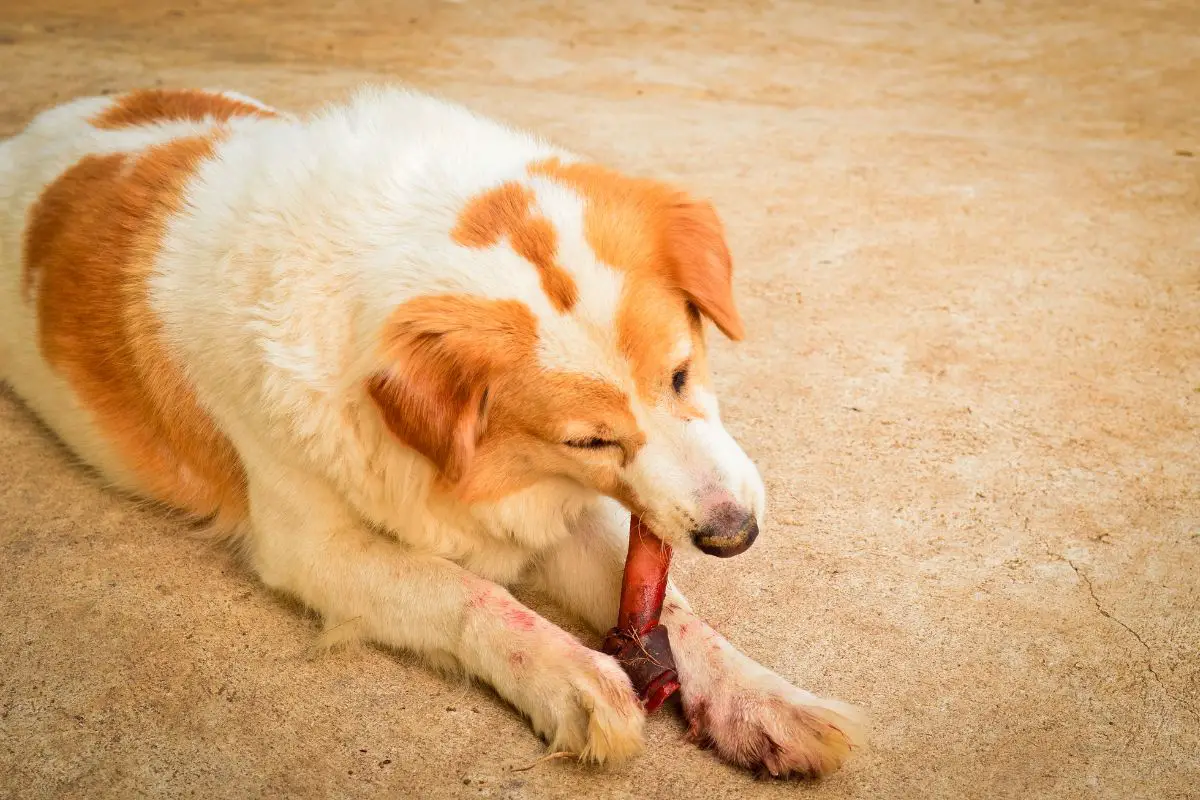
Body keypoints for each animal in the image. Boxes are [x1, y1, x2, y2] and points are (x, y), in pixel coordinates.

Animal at [0, 86, 864, 777]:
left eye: (683, 375)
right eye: (587, 440)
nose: (735, 534)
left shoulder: (568, 508)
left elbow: (673, 608)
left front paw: (761, 699)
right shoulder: (314, 550)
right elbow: (467, 592)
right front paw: (568, 676)